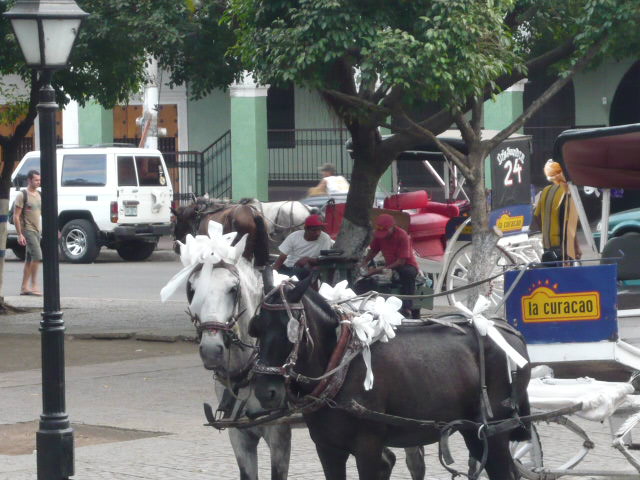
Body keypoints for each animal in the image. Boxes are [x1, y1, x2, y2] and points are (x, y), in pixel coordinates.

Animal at [248, 274, 532, 480]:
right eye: (257, 327)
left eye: (289, 328)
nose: (265, 391)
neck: (339, 366)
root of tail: (510, 332)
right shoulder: (327, 449)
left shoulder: (368, 448)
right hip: (474, 432)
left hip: (494, 431)